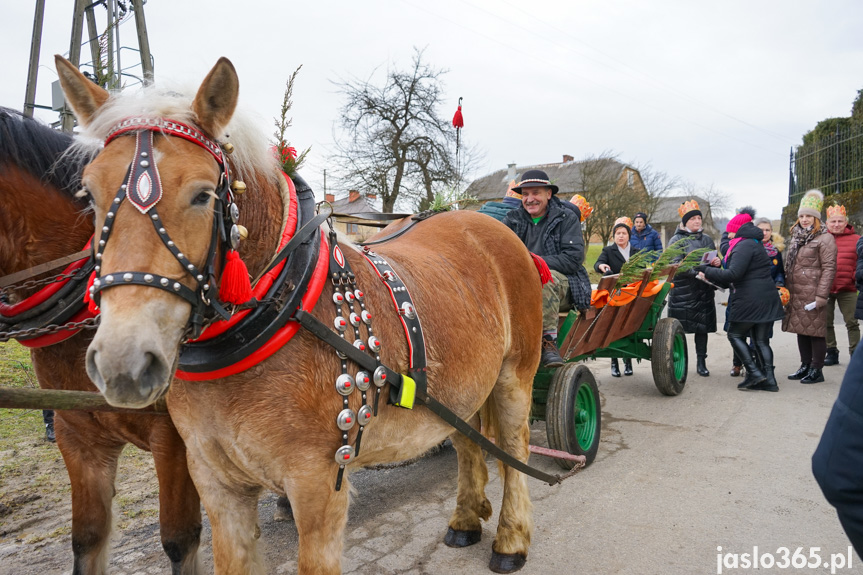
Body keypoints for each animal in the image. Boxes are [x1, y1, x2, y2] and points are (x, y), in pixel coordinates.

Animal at [59, 55, 548, 575]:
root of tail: (480, 219)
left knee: (514, 447)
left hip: (514, 374)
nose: (123, 363)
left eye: (202, 195)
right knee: (468, 442)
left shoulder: (317, 486)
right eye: (88, 195)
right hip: (460, 389)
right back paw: (466, 518)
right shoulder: (216, 484)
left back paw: (511, 539)